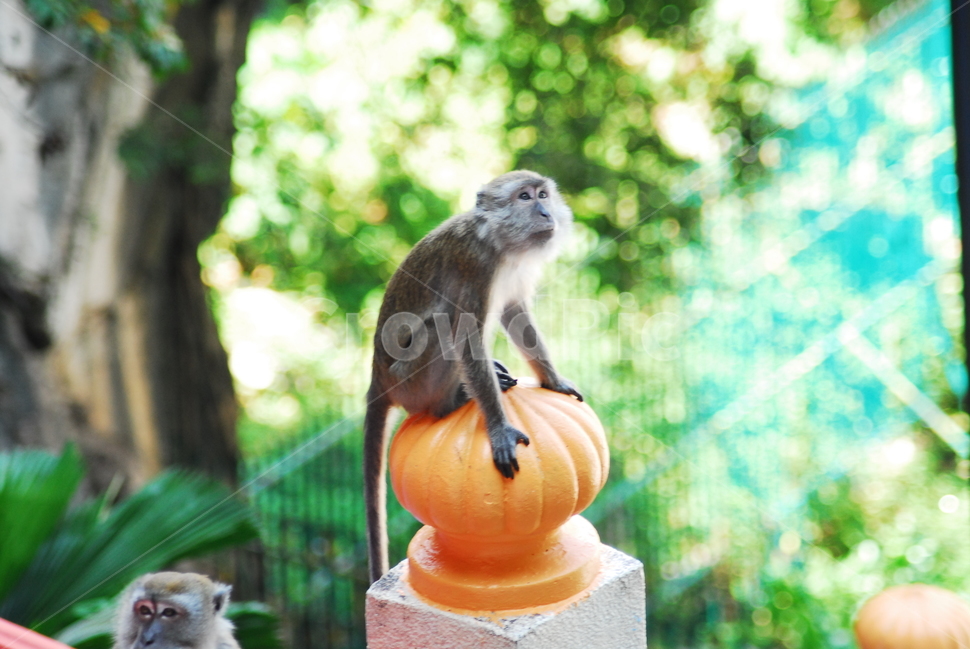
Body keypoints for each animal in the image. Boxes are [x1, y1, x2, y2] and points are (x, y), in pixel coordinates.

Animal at [364, 170, 583, 583]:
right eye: (525, 197)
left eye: (543, 194)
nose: (546, 212)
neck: (497, 241)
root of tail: (378, 376)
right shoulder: (476, 266)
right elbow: (466, 337)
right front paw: (499, 428)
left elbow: (515, 314)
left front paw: (554, 379)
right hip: (411, 380)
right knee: (443, 323)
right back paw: (454, 400)